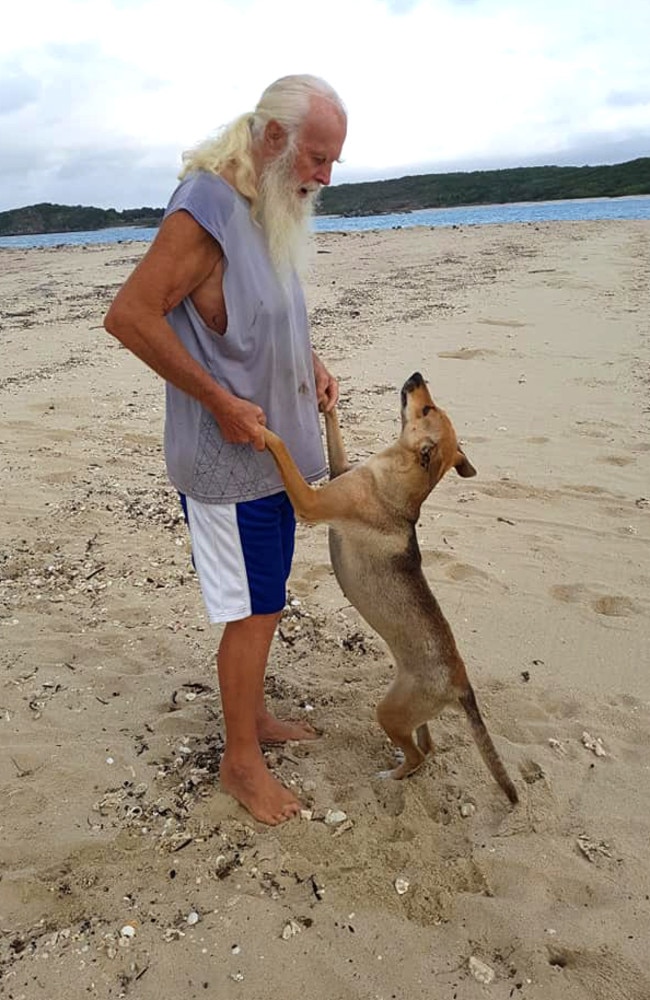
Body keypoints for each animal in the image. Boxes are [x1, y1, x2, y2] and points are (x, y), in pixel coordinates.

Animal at [260, 374, 520, 804]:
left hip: (390, 712)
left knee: (417, 756)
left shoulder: (311, 502)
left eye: (427, 409)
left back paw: (390, 776)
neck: (399, 471)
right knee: (427, 746)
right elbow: (333, 429)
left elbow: (280, 448)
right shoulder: (340, 470)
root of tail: (461, 685)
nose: (417, 376)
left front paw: (257, 427)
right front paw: (326, 396)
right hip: (410, 713)